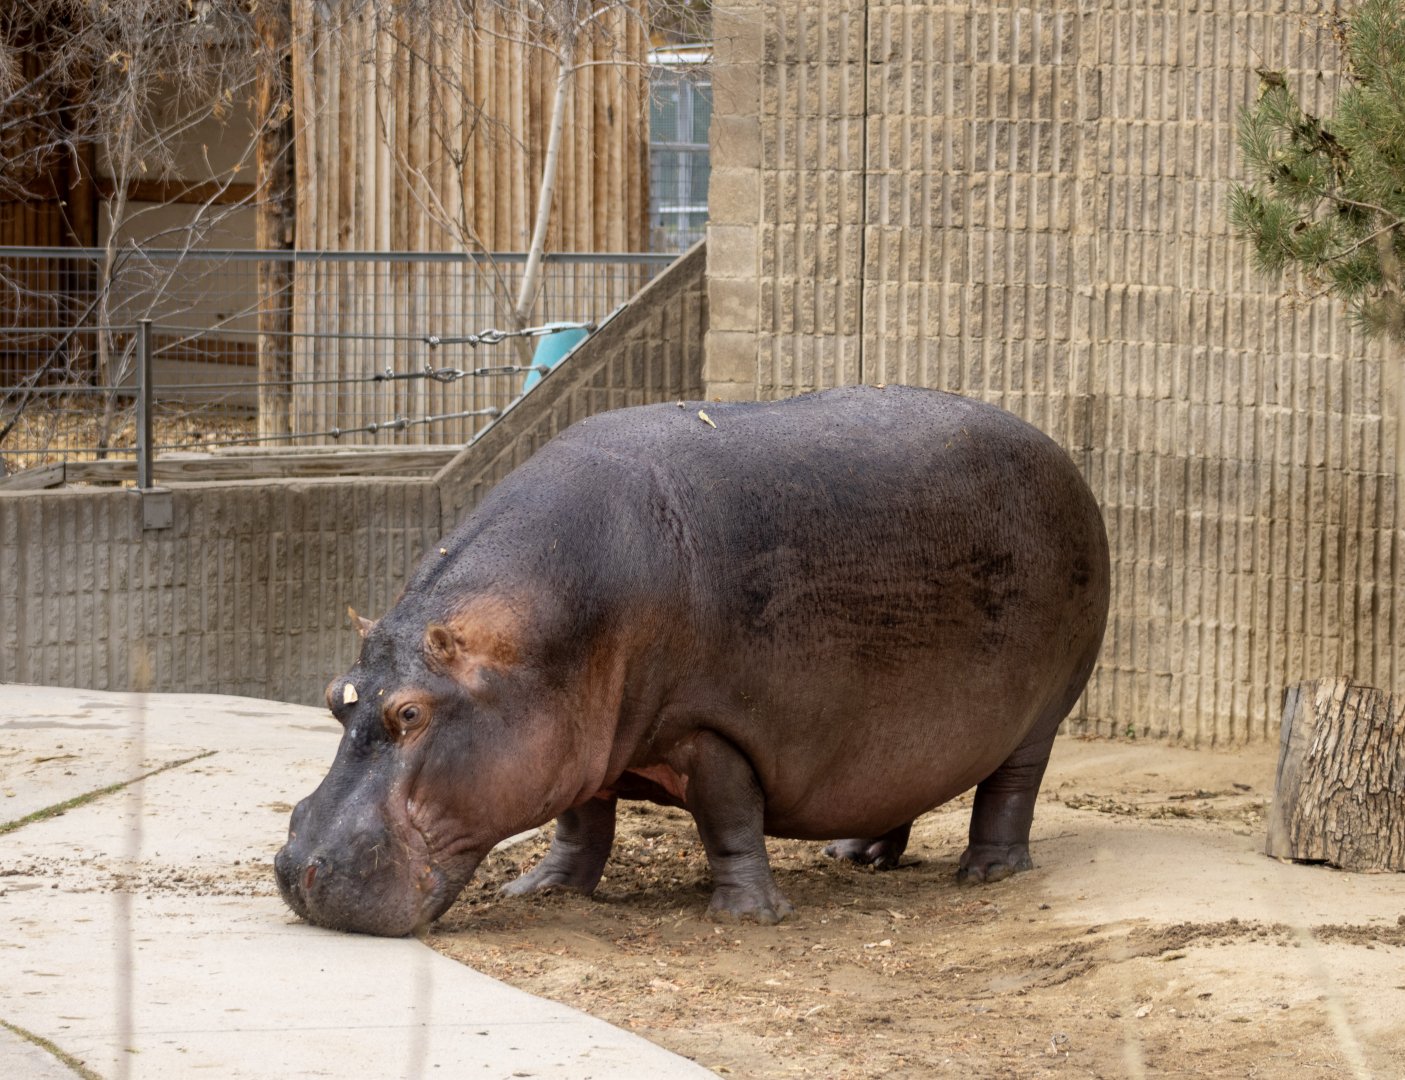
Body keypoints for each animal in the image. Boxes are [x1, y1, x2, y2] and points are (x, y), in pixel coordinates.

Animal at [275, 385, 1110, 936]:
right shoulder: (579, 736)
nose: (296, 869)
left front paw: (747, 915)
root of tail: (1058, 452)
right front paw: (542, 891)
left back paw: (987, 871)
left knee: (1009, 788)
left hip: (1043, 709)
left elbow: (729, 818)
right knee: (901, 782)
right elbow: (581, 820)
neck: (532, 646)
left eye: (410, 712)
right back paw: (856, 854)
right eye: (334, 695)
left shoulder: (710, 731)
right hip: (899, 723)